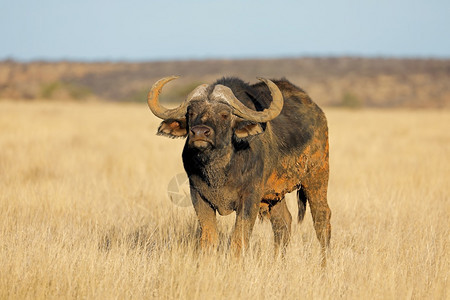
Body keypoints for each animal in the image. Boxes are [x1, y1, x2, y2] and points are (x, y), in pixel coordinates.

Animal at [148, 75, 330, 260]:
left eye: (224, 114)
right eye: (191, 113)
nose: (199, 133)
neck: (219, 170)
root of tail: (317, 112)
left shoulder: (250, 198)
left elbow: (238, 239)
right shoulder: (199, 196)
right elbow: (208, 238)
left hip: (317, 178)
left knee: (322, 218)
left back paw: (325, 261)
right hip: (275, 194)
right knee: (283, 222)